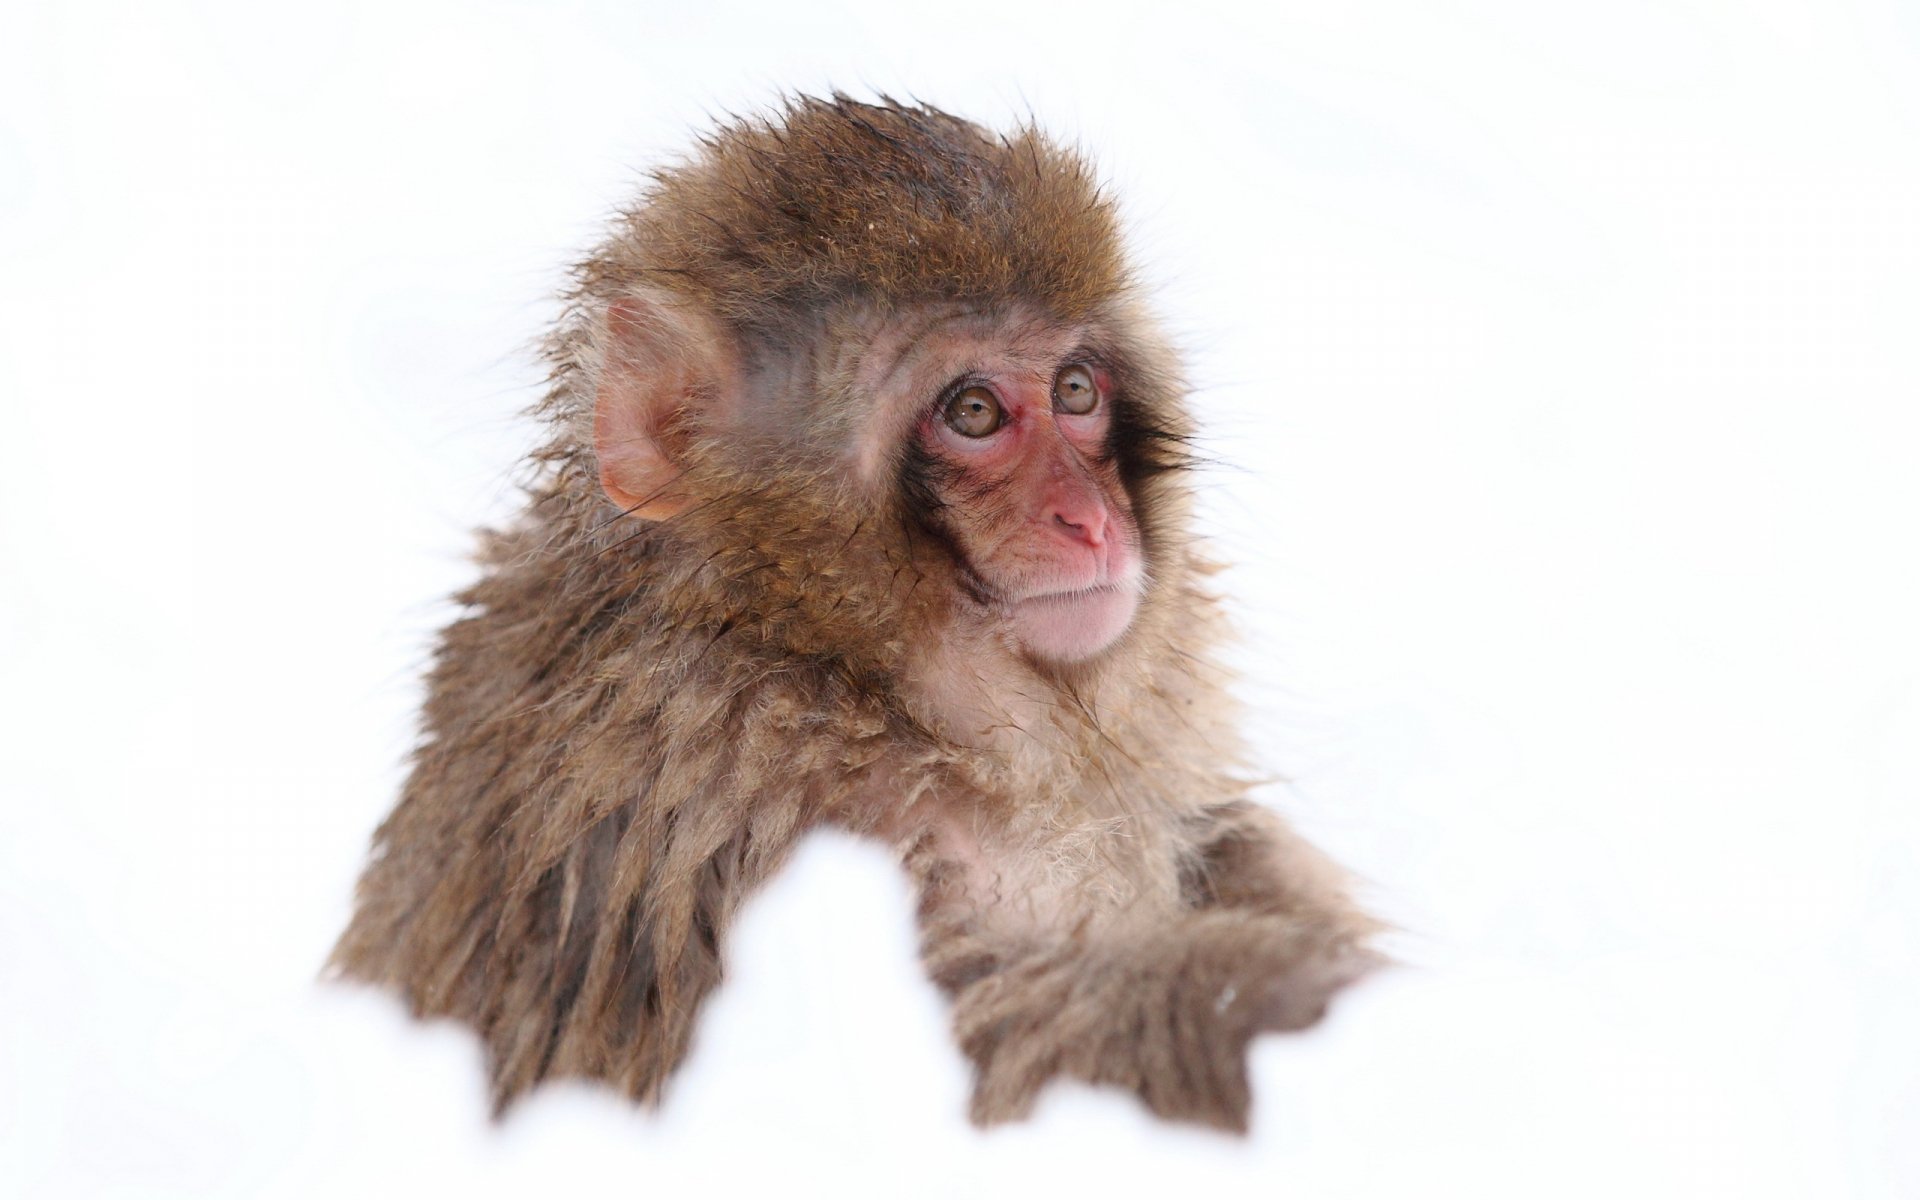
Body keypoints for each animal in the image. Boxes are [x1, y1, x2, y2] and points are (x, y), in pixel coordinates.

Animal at [331, 94, 1381, 1133]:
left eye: (1076, 391)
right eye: (972, 412)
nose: (1089, 520)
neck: (833, 662)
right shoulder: (731, 797)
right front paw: (1295, 997)